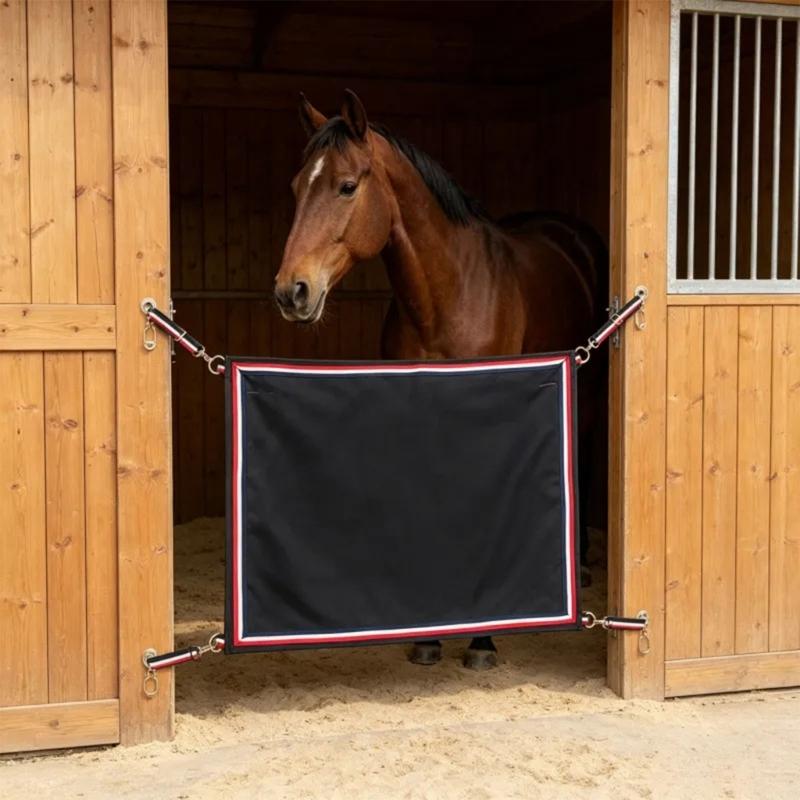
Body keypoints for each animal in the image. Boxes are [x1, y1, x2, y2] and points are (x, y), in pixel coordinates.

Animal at [275, 89, 607, 670]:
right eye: (297, 187)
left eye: (346, 185)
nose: (292, 290)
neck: (449, 292)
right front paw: (428, 637)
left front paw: (482, 640)